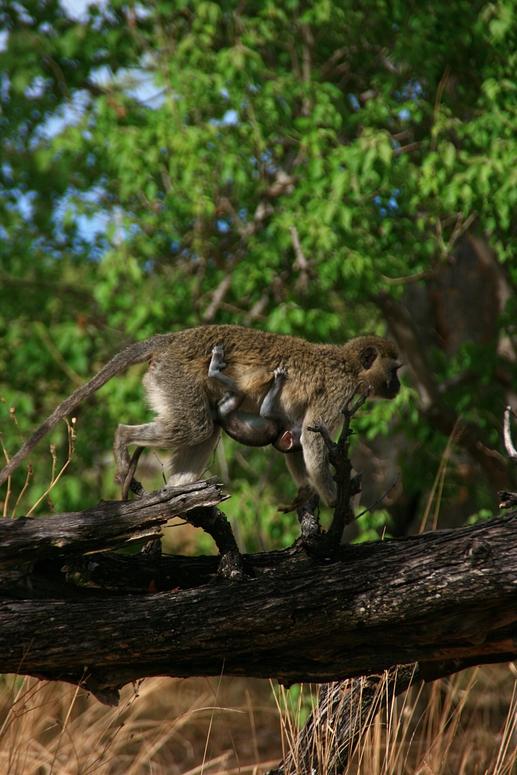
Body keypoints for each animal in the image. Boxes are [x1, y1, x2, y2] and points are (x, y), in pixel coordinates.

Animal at [0, 324, 402, 506]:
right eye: (395, 369)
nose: (398, 386)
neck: (348, 365)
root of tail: (175, 338)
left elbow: (297, 439)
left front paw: (307, 493)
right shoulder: (338, 393)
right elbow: (312, 439)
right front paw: (334, 499)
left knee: (205, 429)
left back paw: (177, 493)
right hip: (175, 376)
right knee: (195, 427)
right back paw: (123, 439)